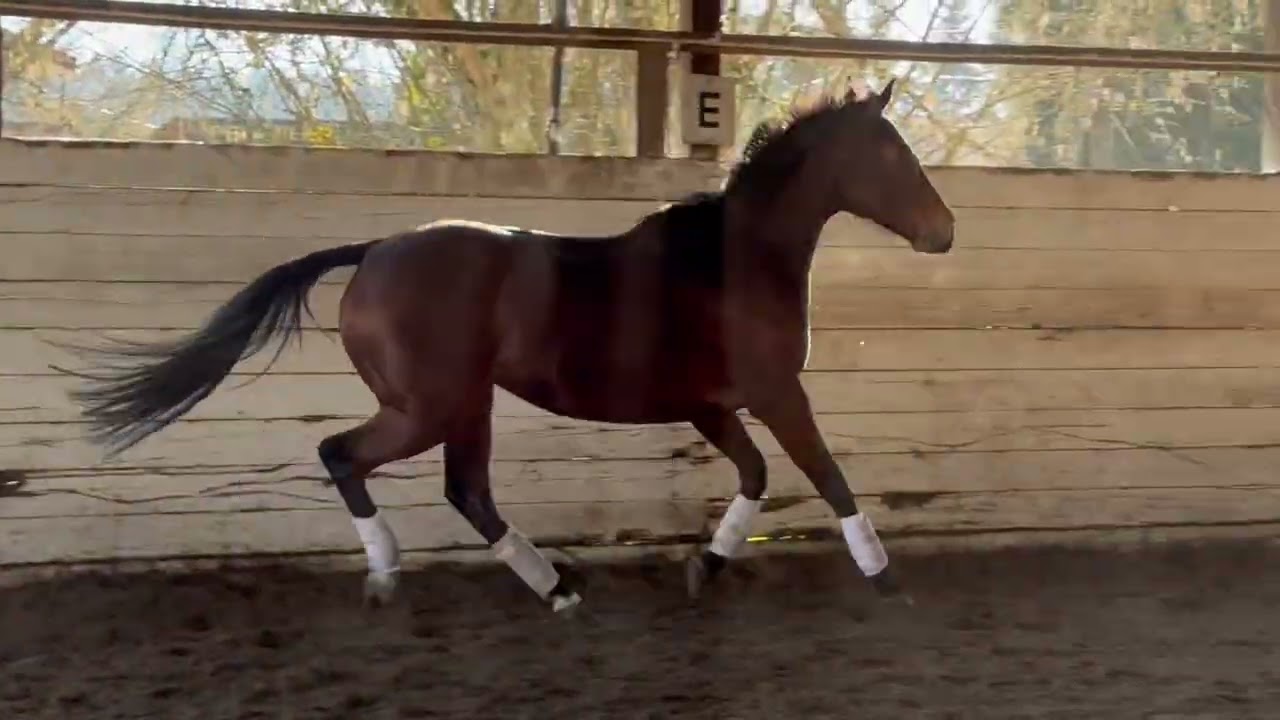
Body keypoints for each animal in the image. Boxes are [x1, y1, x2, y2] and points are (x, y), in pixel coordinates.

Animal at [55, 78, 954, 614]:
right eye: (891, 154)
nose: (944, 231)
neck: (731, 259)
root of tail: (373, 252)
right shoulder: (774, 394)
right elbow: (826, 475)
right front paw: (883, 575)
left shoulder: (711, 408)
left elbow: (758, 477)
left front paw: (709, 563)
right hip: (428, 407)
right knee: (344, 455)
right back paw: (392, 573)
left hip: (465, 405)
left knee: (465, 491)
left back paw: (553, 587)